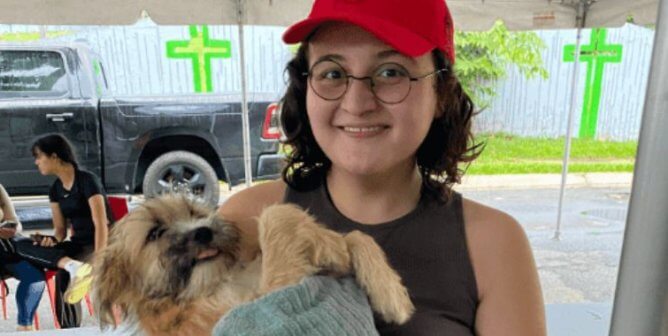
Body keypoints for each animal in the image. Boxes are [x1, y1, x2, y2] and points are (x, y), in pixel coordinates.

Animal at [91, 194, 414, 336]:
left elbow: (357, 235)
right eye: (154, 233)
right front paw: (331, 243)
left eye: (195, 213)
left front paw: (390, 291)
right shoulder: (269, 300)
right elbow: (277, 214)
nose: (203, 231)